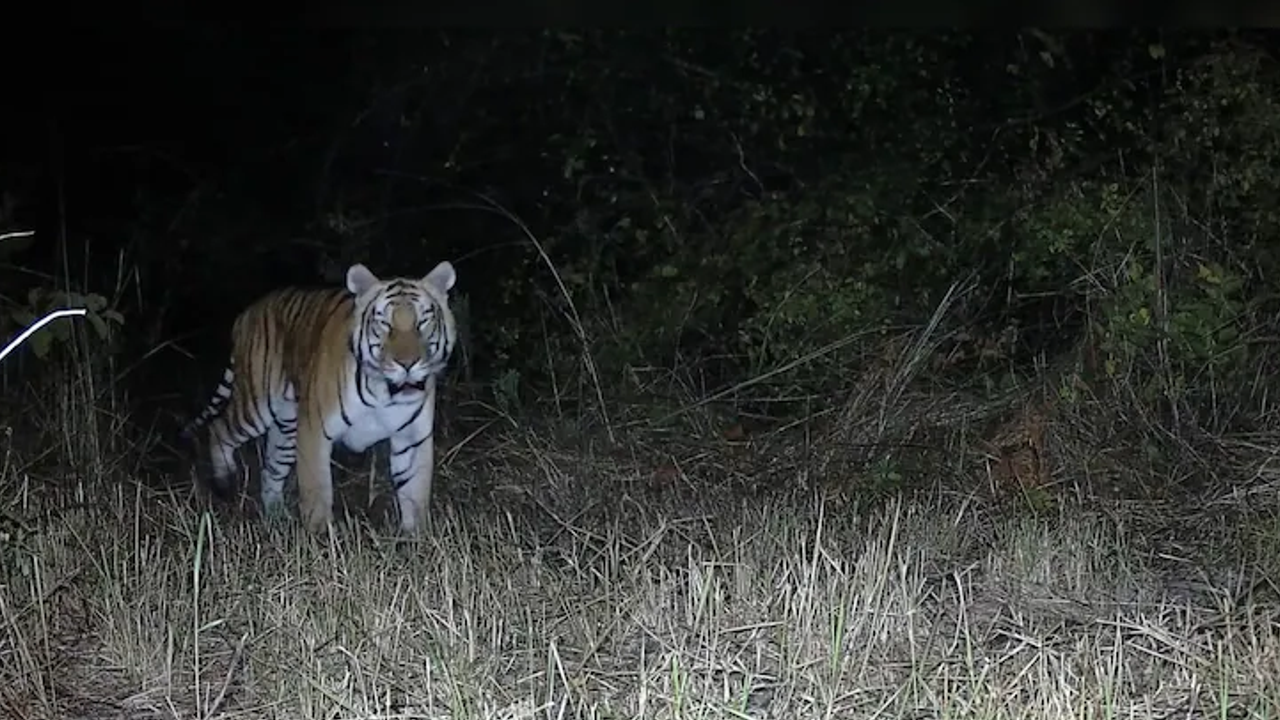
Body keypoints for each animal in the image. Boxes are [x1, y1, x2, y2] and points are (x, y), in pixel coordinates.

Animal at [181, 261, 458, 533]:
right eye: (385, 324)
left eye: (423, 322)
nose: (408, 363)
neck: (385, 392)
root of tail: (247, 312)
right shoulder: (314, 432)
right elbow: (317, 493)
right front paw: (321, 538)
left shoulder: (413, 439)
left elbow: (415, 496)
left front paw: (416, 539)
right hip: (257, 405)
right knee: (219, 428)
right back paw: (224, 481)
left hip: (286, 428)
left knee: (271, 469)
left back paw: (276, 518)